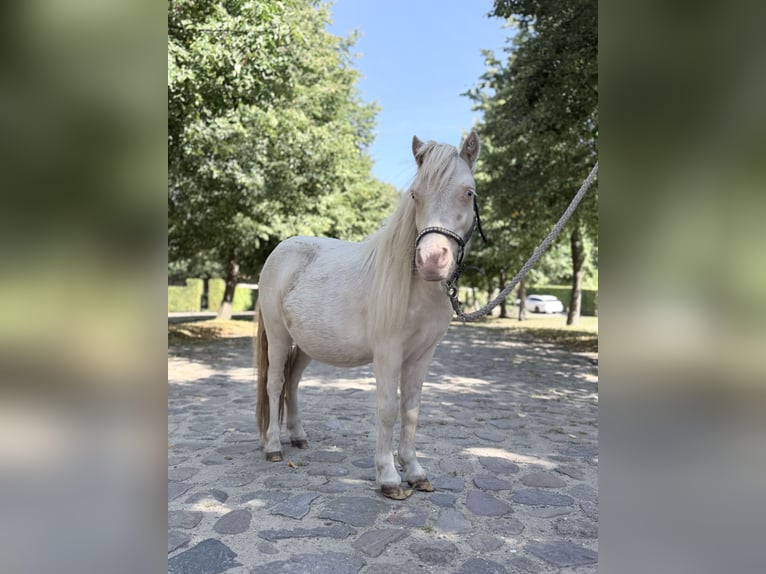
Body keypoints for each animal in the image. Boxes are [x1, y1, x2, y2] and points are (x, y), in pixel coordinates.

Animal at [255, 132, 481, 499]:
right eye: (416, 195)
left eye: (468, 192)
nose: (431, 260)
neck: (417, 290)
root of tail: (280, 251)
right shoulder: (388, 353)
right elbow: (388, 408)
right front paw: (388, 476)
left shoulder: (422, 356)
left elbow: (411, 411)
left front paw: (415, 472)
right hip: (278, 337)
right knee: (275, 383)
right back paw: (273, 445)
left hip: (306, 345)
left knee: (293, 381)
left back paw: (298, 437)